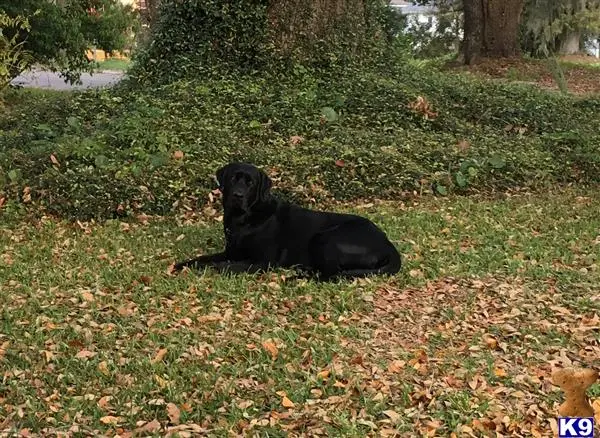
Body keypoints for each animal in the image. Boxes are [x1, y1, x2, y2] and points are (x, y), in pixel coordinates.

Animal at [172, 163, 398, 280]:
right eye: (232, 178)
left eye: (250, 183)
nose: (237, 195)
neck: (244, 220)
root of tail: (389, 245)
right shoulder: (231, 252)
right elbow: (202, 258)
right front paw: (183, 265)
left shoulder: (263, 262)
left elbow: (225, 266)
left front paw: (212, 268)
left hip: (326, 237)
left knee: (332, 274)